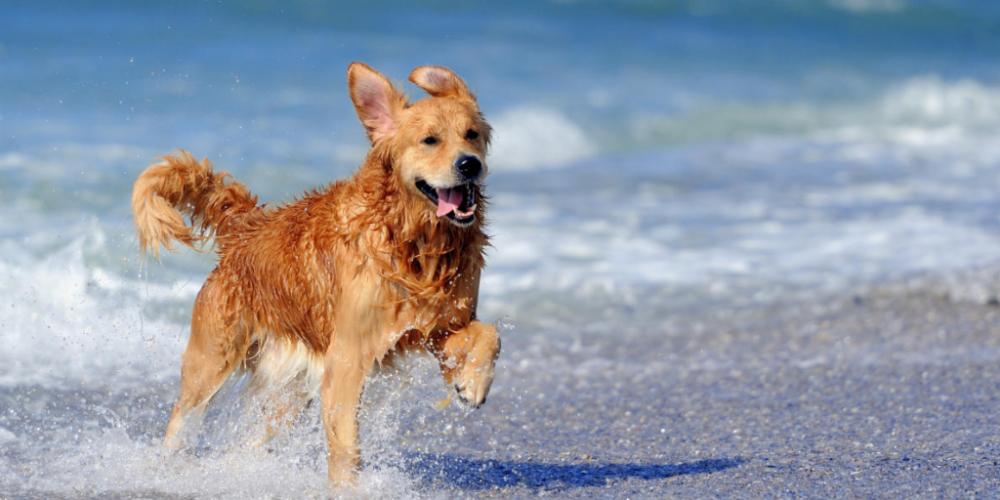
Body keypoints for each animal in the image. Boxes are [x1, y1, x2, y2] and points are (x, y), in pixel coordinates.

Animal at [133, 61, 504, 484]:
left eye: (471, 134)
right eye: (430, 140)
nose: (469, 164)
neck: (413, 239)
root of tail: (247, 227)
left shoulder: (438, 326)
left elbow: (489, 335)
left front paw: (472, 384)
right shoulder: (348, 356)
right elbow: (345, 446)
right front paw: (349, 488)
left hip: (290, 389)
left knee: (254, 440)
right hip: (212, 359)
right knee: (182, 415)